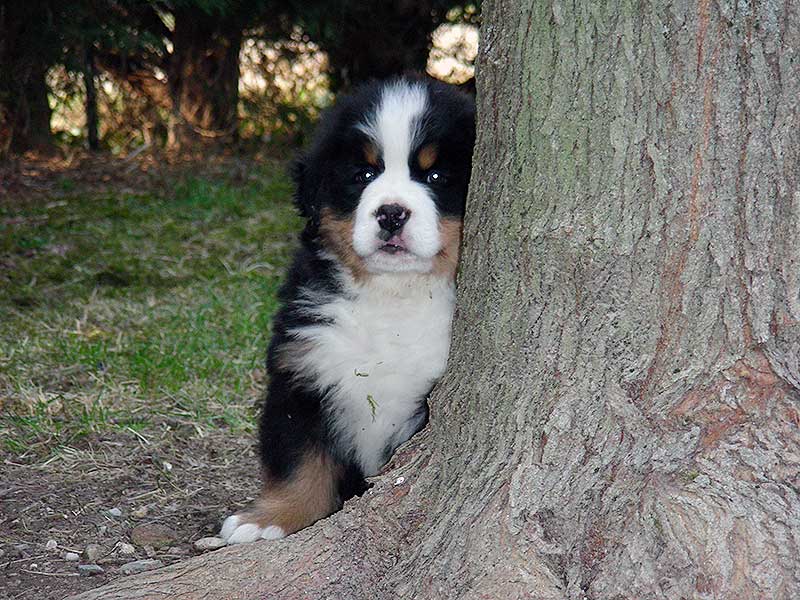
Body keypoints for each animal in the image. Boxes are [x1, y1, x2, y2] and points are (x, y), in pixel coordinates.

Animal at [219, 76, 476, 544]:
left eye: (435, 175)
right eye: (364, 174)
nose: (391, 213)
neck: (394, 297)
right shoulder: (302, 368)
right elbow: (301, 460)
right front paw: (269, 520)